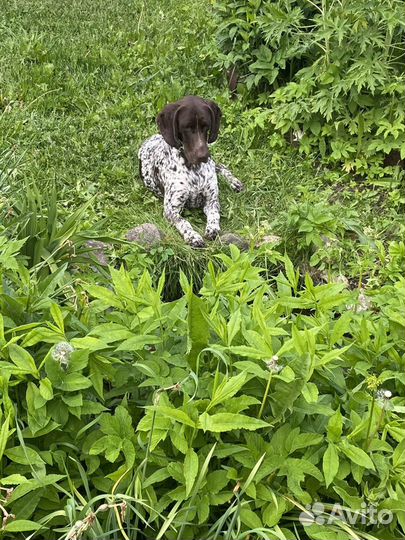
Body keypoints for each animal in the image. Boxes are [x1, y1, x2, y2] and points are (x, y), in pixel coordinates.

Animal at [138, 96, 243, 248]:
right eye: (187, 127)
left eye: (206, 126)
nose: (203, 155)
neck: (194, 170)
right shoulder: (171, 210)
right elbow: (184, 222)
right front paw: (193, 236)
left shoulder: (211, 200)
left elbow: (214, 215)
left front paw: (212, 228)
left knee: (221, 166)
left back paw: (235, 182)